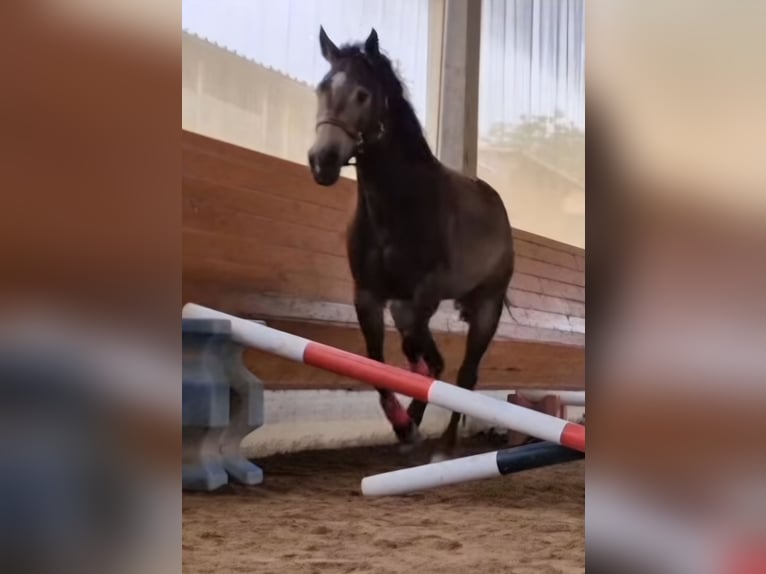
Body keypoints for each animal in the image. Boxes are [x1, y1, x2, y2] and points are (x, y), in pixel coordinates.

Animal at [308, 27, 515, 459]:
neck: (397, 205)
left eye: (363, 94)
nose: (323, 162)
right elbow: (379, 364)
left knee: (465, 374)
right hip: (405, 307)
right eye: (322, 87)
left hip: (486, 308)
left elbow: (424, 361)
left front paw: (410, 426)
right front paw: (403, 426)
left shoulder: (425, 295)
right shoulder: (369, 296)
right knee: (427, 362)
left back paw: (445, 446)